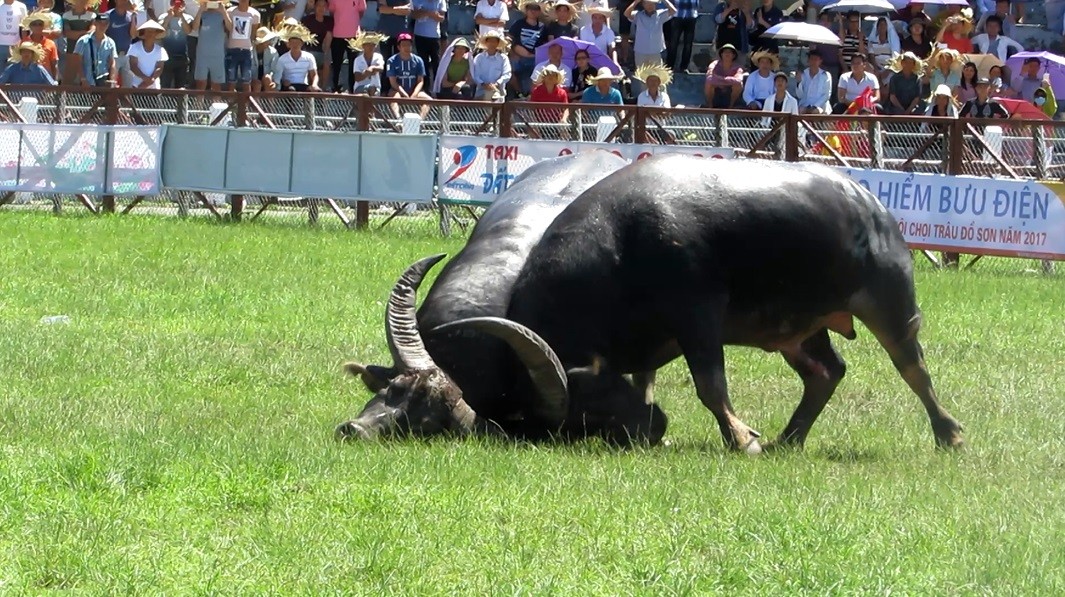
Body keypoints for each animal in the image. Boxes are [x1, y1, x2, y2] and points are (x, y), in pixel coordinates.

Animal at [438, 154, 967, 451]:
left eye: (583, 410)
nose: (651, 429)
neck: (619, 247)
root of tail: (870, 204)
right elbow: (649, 378)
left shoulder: (698, 314)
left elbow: (710, 385)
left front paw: (742, 439)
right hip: (799, 328)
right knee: (827, 372)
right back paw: (789, 439)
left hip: (889, 301)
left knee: (913, 367)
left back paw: (949, 434)